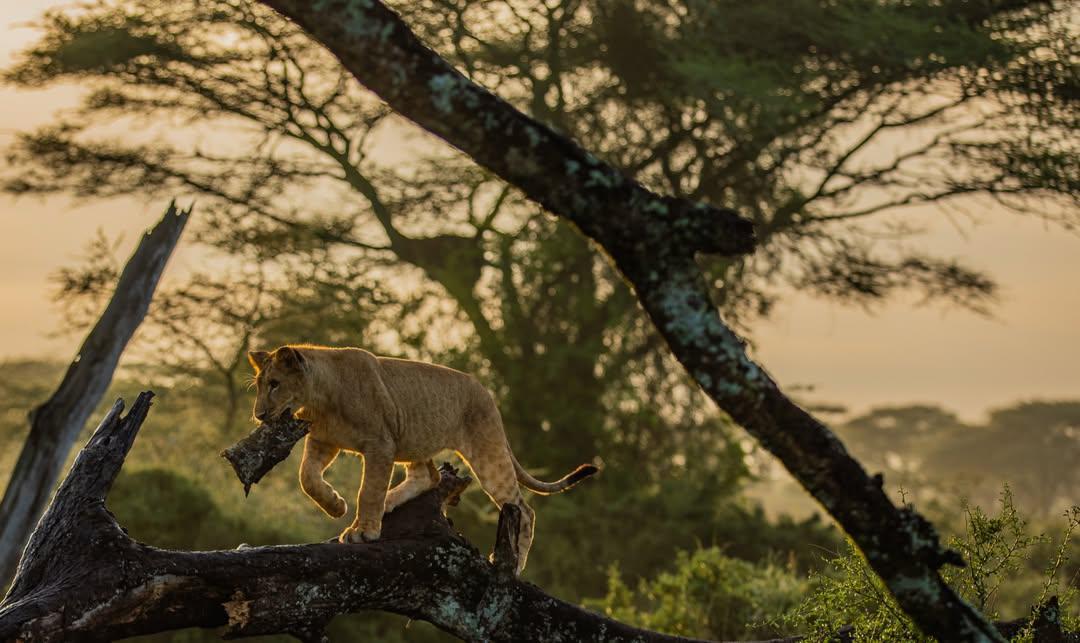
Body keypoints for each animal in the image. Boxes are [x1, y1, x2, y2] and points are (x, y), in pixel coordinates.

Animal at [247, 344, 598, 573]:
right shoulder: (323, 441)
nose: (260, 415)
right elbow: (307, 478)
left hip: (484, 451)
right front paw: (336, 506)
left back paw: (516, 565)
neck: (318, 401)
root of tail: (486, 391)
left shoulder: (380, 444)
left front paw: (364, 530)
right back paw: (389, 503)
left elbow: (368, 489)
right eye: (260, 386)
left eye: (275, 384)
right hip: (410, 436)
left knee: (523, 508)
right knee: (428, 476)